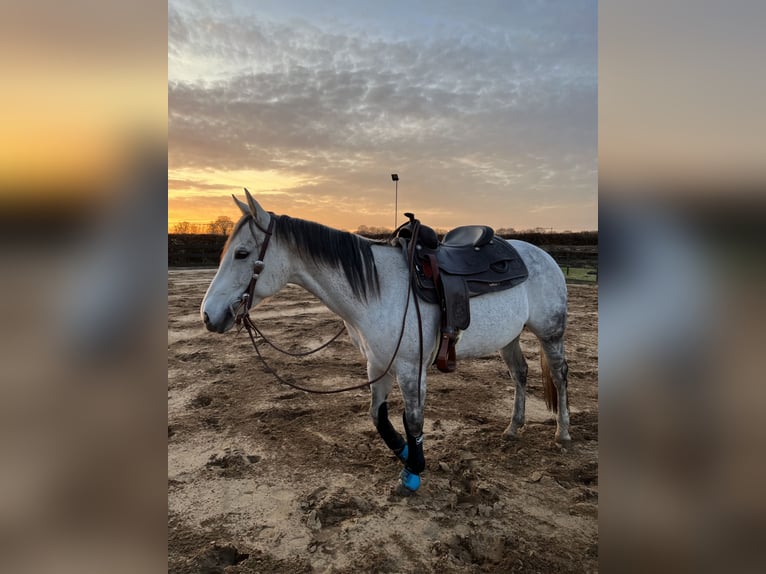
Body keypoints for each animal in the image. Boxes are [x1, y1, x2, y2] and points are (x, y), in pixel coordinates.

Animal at [201, 190, 570, 493]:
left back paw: (563, 433)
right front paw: (404, 452)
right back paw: (513, 428)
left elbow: (414, 420)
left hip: (550, 333)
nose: (208, 315)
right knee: (520, 373)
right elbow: (377, 416)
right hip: (509, 336)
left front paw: (413, 473)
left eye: (242, 253)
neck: (376, 289)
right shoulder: (377, 363)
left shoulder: (410, 368)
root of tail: (542, 255)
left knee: (560, 374)